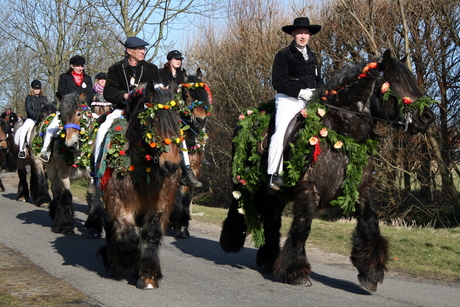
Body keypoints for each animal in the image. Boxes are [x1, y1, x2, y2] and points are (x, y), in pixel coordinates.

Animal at [96, 80, 182, 290]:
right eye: (153, 121)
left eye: (178, 120)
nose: (171, 164)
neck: (144, 171)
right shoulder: (118, 203)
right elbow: (128, 236)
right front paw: (120, 263)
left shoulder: (160, 205)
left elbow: (150, 234)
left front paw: (147, 274)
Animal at [169, 69, 212, 238]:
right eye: (186, 95)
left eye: (204, 93)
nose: (200, 120)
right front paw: (176, 224)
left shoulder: (194, 170)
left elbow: (186, 198)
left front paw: (183, 225)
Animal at [219, 51, 434, 294]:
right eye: (397, 81)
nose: (428, 117)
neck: (341, 131)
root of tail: (249, 117)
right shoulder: (309, 191)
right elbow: (302, 229)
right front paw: (296, 272)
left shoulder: (361, 189)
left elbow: (370, 224)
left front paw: (370, 272)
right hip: (243, 183)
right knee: (239, 207)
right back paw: (232, 241)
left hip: (277, 195)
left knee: (273, 221)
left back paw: (268, 258)